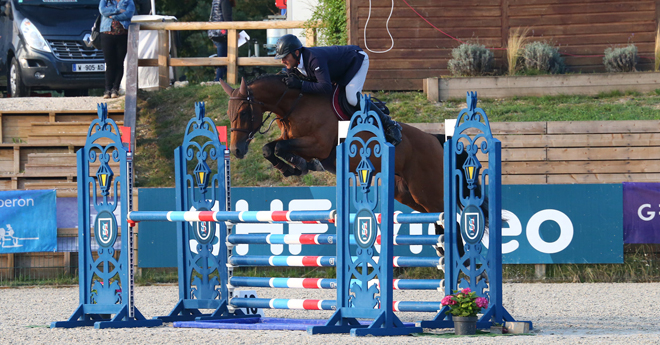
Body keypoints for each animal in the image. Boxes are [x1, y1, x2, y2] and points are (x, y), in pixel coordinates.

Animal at [219, 74, 462, 253]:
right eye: (229, 113)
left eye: (243, 112)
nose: (237, 150)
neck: (294, 104)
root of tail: (434, 139)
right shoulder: (292, 140)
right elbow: (270, 148)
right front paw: (292, 167)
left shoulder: (318, 145)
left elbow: (279, 148)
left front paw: (299, 165)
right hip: (408, 194)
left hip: (428, 192)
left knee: (449, 217)